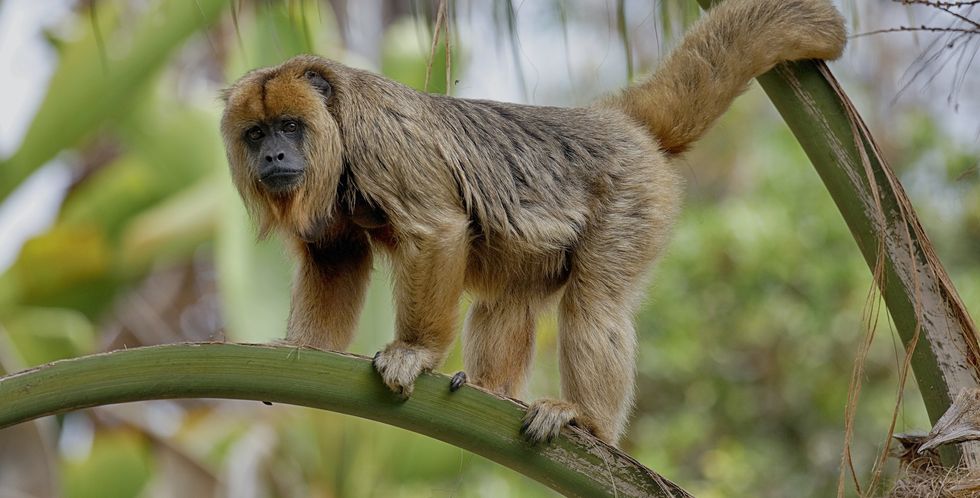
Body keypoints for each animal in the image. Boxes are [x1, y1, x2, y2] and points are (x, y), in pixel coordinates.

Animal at [220, 0, 846, 446]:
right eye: (256, 133)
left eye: (290, 126)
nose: (273, 156)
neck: (336, 130)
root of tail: (611, 120)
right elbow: (335, 256)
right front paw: (301, 354)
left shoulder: (382, 136)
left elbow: (436, 230)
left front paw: (415, 352)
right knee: (507, 300)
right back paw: (493, 392)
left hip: (635, 193)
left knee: (595, 306)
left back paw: (587, 423)